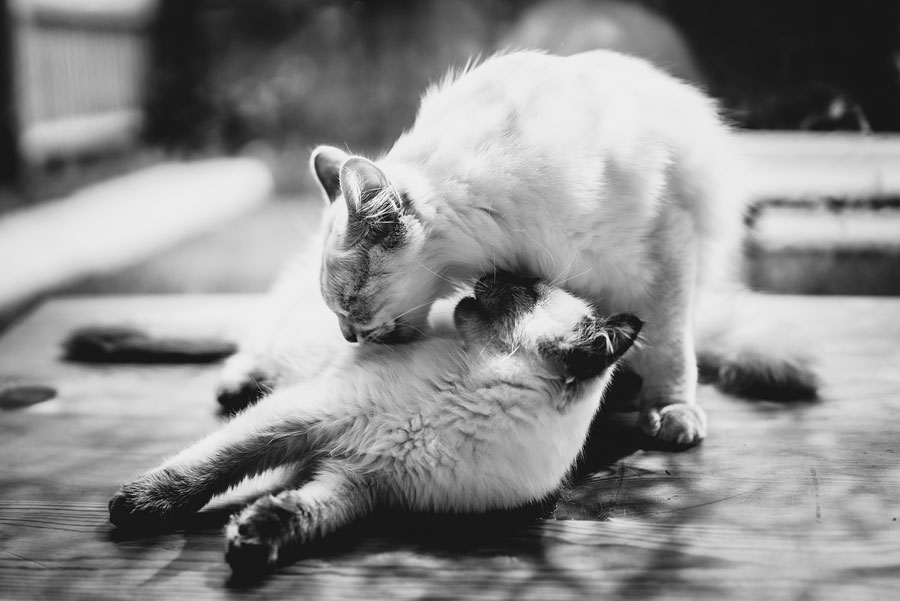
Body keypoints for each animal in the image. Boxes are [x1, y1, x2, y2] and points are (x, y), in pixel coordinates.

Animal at [112, 274, 644, 576]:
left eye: (525, 291)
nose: (489, 274)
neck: (465, 398)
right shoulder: (305, 416)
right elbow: (209, 467)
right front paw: (136, 506)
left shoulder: (360, 484)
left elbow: (300, 514)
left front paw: (254, 539)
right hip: (286, 349)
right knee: (246, 349)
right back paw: (235, 387)